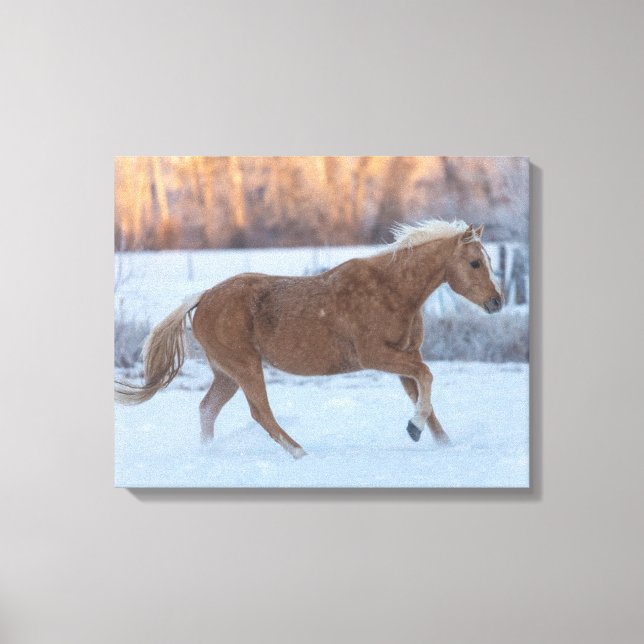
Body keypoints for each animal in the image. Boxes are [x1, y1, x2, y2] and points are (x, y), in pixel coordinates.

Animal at [115, 220, 504, 459]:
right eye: (474, 262)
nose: (496, 302)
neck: (392, 290)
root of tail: (203, 297)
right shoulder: (376, 356)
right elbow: (427, 376)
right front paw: (413, 428)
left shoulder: (404, 358)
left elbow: (425, 393)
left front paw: (439, 441)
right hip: (245, 366)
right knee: (260, 413)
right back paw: (300, 452)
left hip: (227, 374)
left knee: (208, 408)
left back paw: (210, 452)